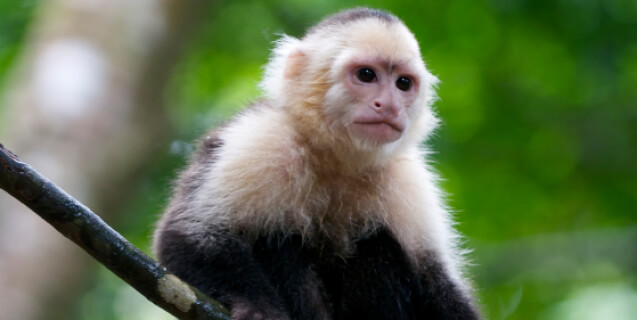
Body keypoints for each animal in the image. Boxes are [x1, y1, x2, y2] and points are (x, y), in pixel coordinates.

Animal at [154, 7, 480, 320]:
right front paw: (257, 307)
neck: (336, 158)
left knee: (375, 241)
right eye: (366, 75)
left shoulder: (407, 176)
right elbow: (187, 235)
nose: (389, 105)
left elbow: (436, 281)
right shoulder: (262, 139)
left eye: (403, 83)